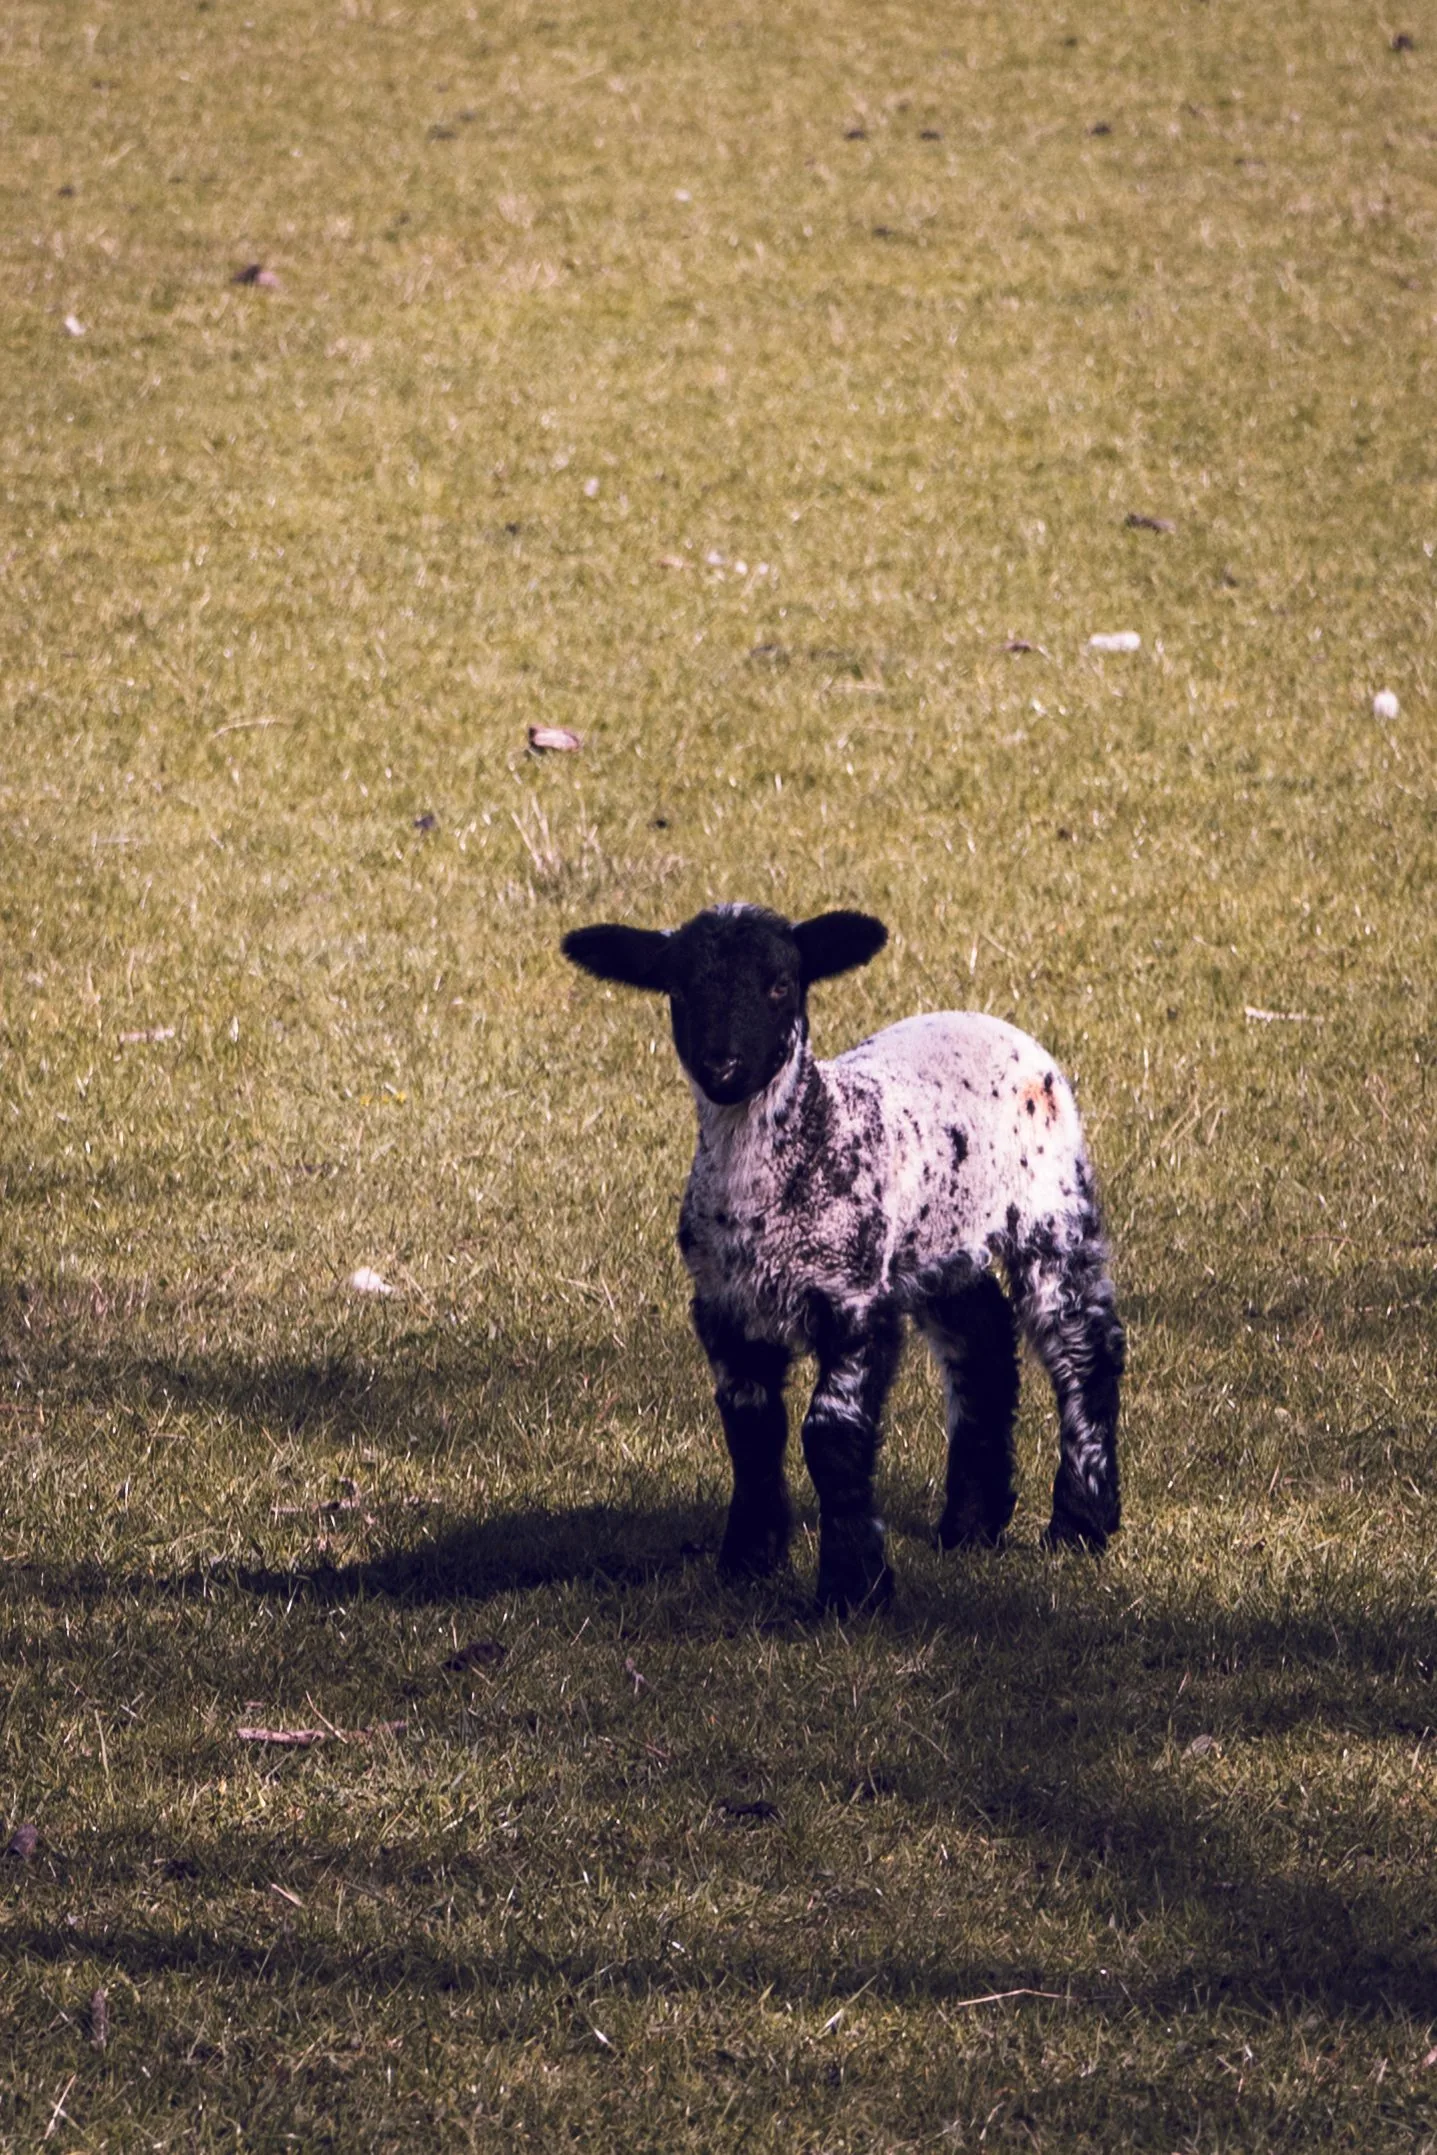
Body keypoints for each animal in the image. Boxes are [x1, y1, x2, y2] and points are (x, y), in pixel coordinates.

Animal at [561, 902, 1124, 1612]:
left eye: (780, 985)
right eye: (680, 990)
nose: (723, 1067)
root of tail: (991, 1021)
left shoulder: (853, 1298)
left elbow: (830, 1433)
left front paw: (854, 1586)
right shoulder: (724, 1307)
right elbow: (751, 1429)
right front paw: (748, 1562)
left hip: (1053, 1204)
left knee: (1082, 1344)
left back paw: (1082, 1522)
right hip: (934, 1242)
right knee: (982, 1342)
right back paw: (971, 1526)